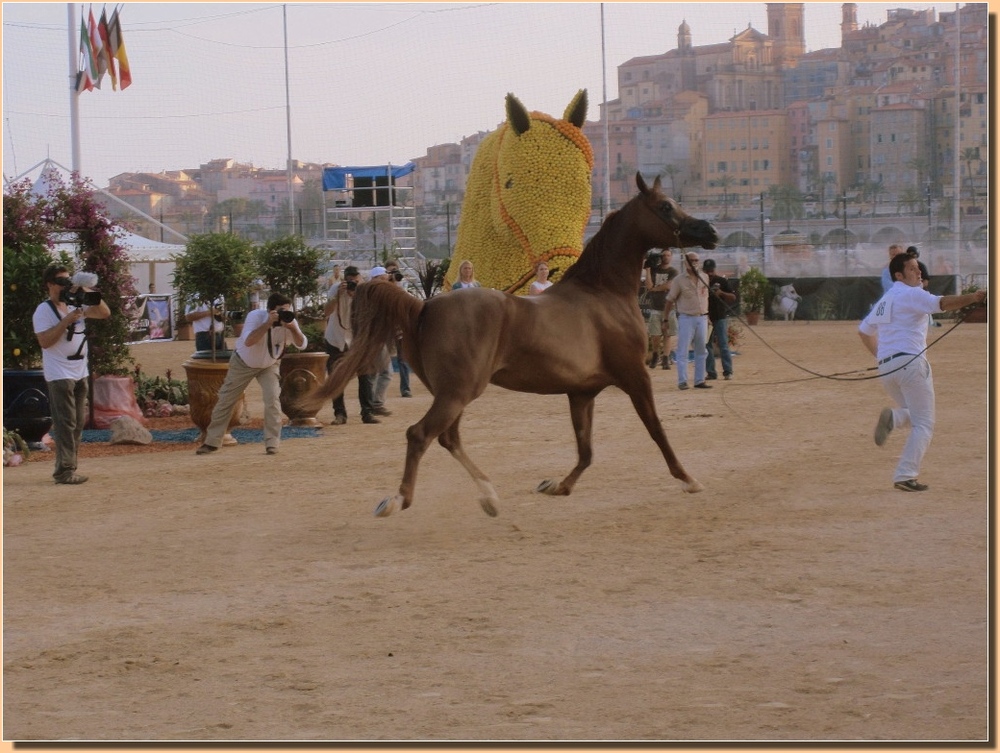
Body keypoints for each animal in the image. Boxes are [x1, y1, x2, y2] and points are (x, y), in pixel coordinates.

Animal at [304, 174, 720, 516]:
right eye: (665, 207)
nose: (711, 231)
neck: (603, 293)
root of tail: (425, 305)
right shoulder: (635, 376)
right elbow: (656, 430)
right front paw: (688, 479)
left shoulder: (582, 393)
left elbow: (585, 450)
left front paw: (556, 486)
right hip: (459, 392)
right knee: (421, 434)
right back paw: (397, 500)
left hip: (454, 392)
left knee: (448, 438)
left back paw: (489, 496)